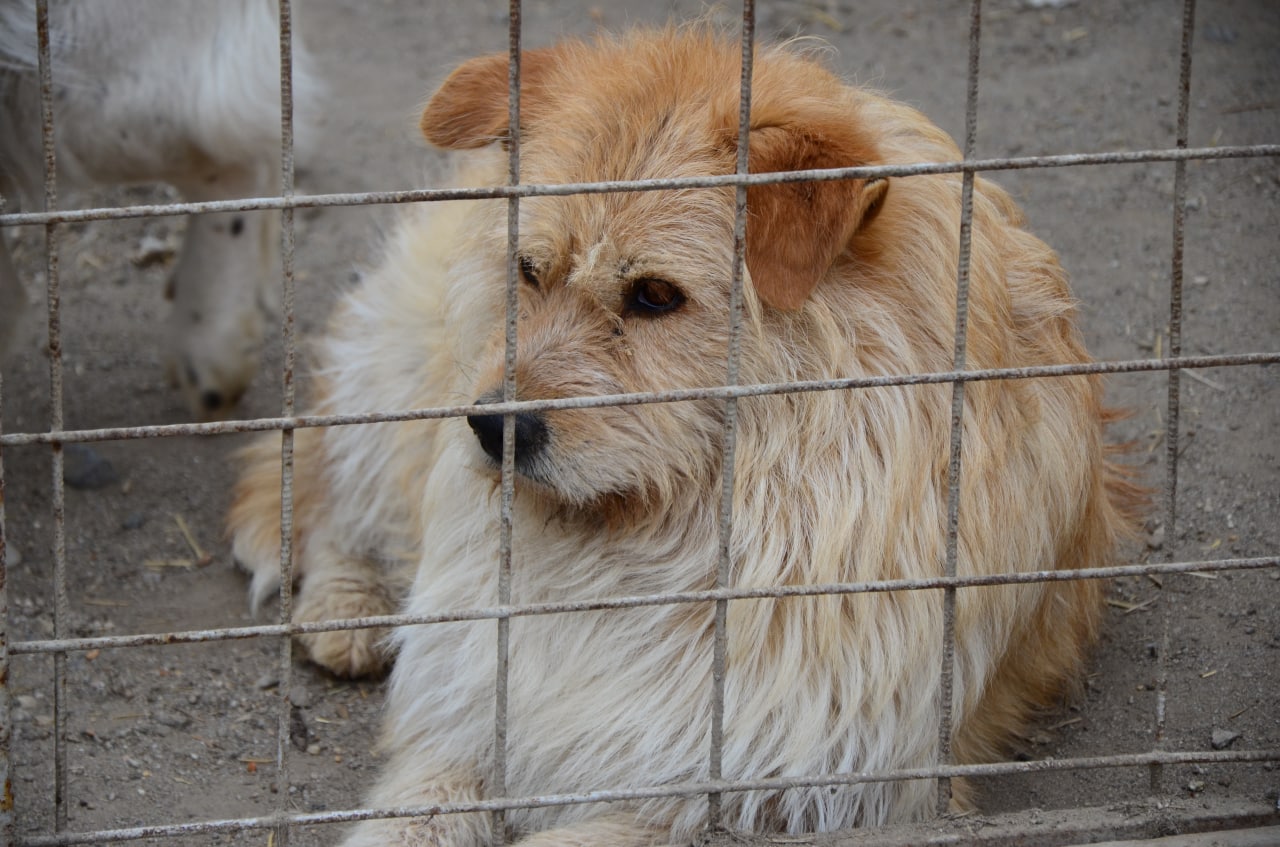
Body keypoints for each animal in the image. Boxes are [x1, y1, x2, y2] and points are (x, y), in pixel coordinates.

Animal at [228, 26, 1142, 845]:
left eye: (656, 295)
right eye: (528, 271)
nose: (493, 429)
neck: (654, 537)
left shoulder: (758, 786)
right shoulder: (464, 730)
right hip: (401, 371)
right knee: (329, 494)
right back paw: (348, 607)